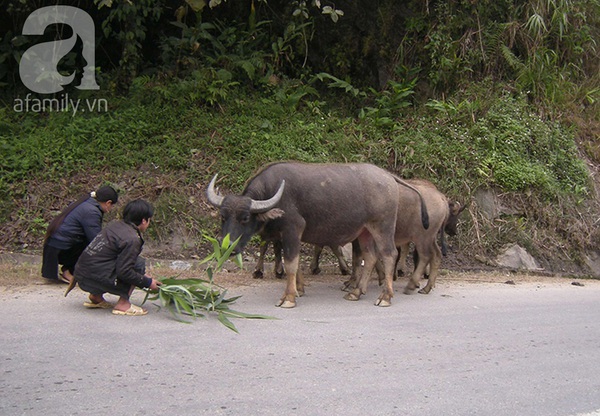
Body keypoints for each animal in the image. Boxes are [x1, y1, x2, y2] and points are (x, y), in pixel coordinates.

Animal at [205, 161, 426, 308]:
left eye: (244, 218)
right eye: (223, 217)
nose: (227, 247)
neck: (273, 193)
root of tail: (388, 177)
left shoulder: (293, 230)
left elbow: (291, 263)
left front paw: (289, 297)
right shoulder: (286, 236)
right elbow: (295, 263)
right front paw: (299, 290)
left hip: (382, 226)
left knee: (389, 255)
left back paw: (385, 297)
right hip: (364, 231)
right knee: (370, 257)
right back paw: (356, 292)